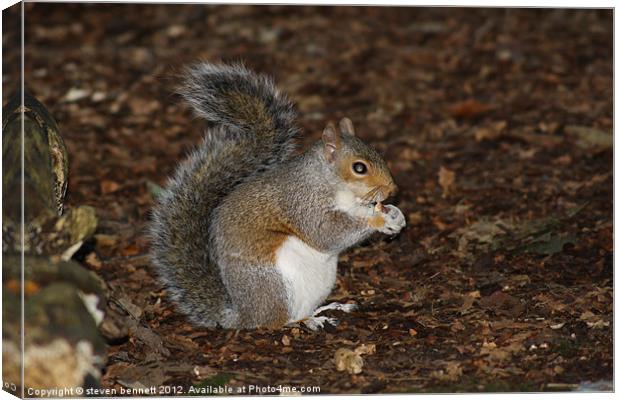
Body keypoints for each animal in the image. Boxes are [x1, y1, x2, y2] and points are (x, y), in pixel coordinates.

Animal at [148, 63, 404, 332]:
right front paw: (379, 220)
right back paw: (307, 320)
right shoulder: (302, 202)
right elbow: (325, 232)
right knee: (275, 322)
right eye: (359, 168)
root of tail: (241, 316)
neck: (332, 184)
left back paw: (327, 309)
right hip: (276, 285)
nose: (392, 190)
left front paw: (395, 214)